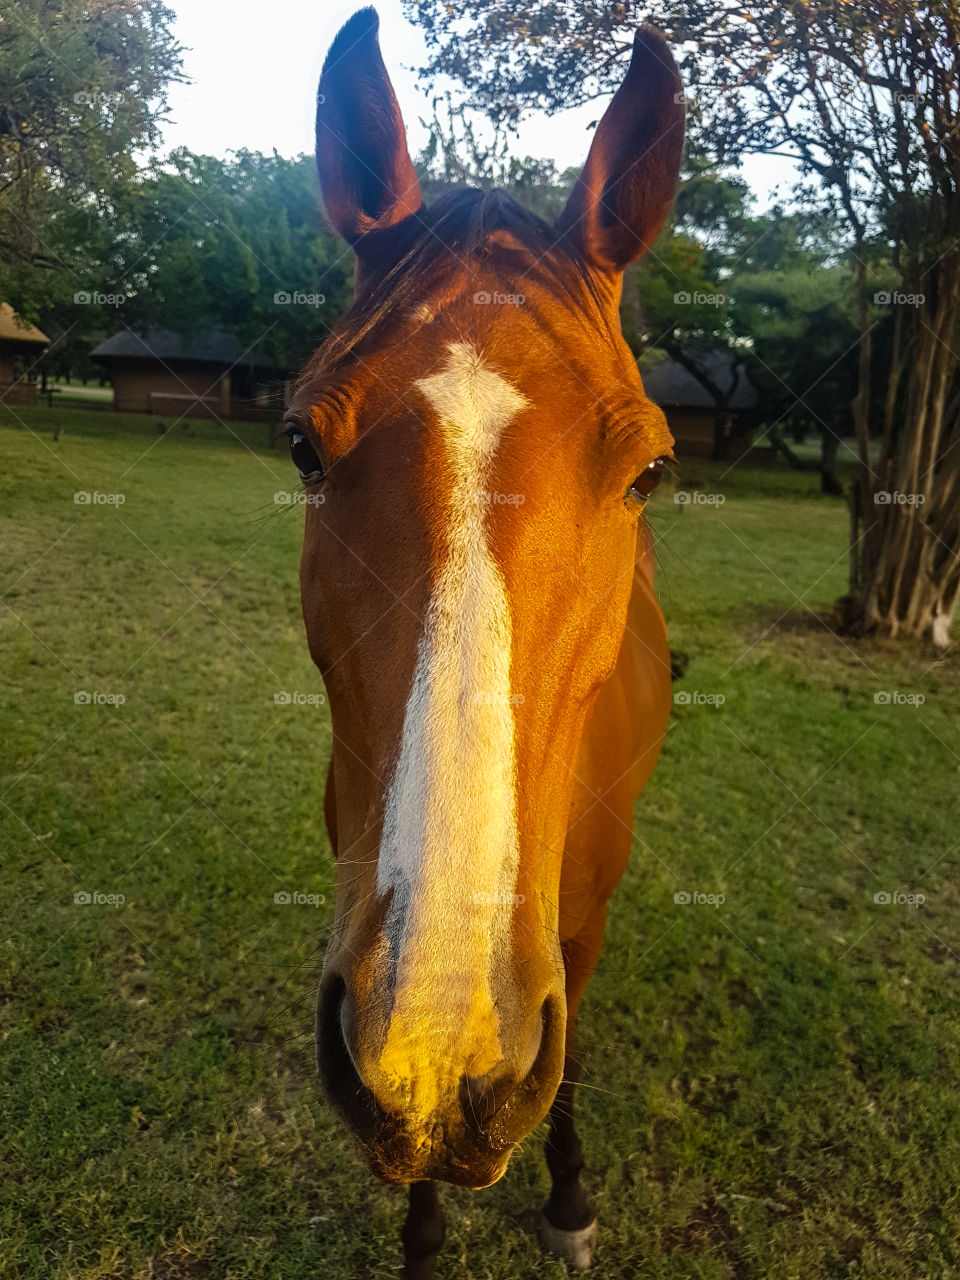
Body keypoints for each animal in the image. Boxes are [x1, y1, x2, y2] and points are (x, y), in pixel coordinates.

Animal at [286, 8, 684, 1275]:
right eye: (304, 446)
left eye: (649, 470)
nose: (437, 1043)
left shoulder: (580, 923)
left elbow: (569, 1052)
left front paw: (569, 1195)